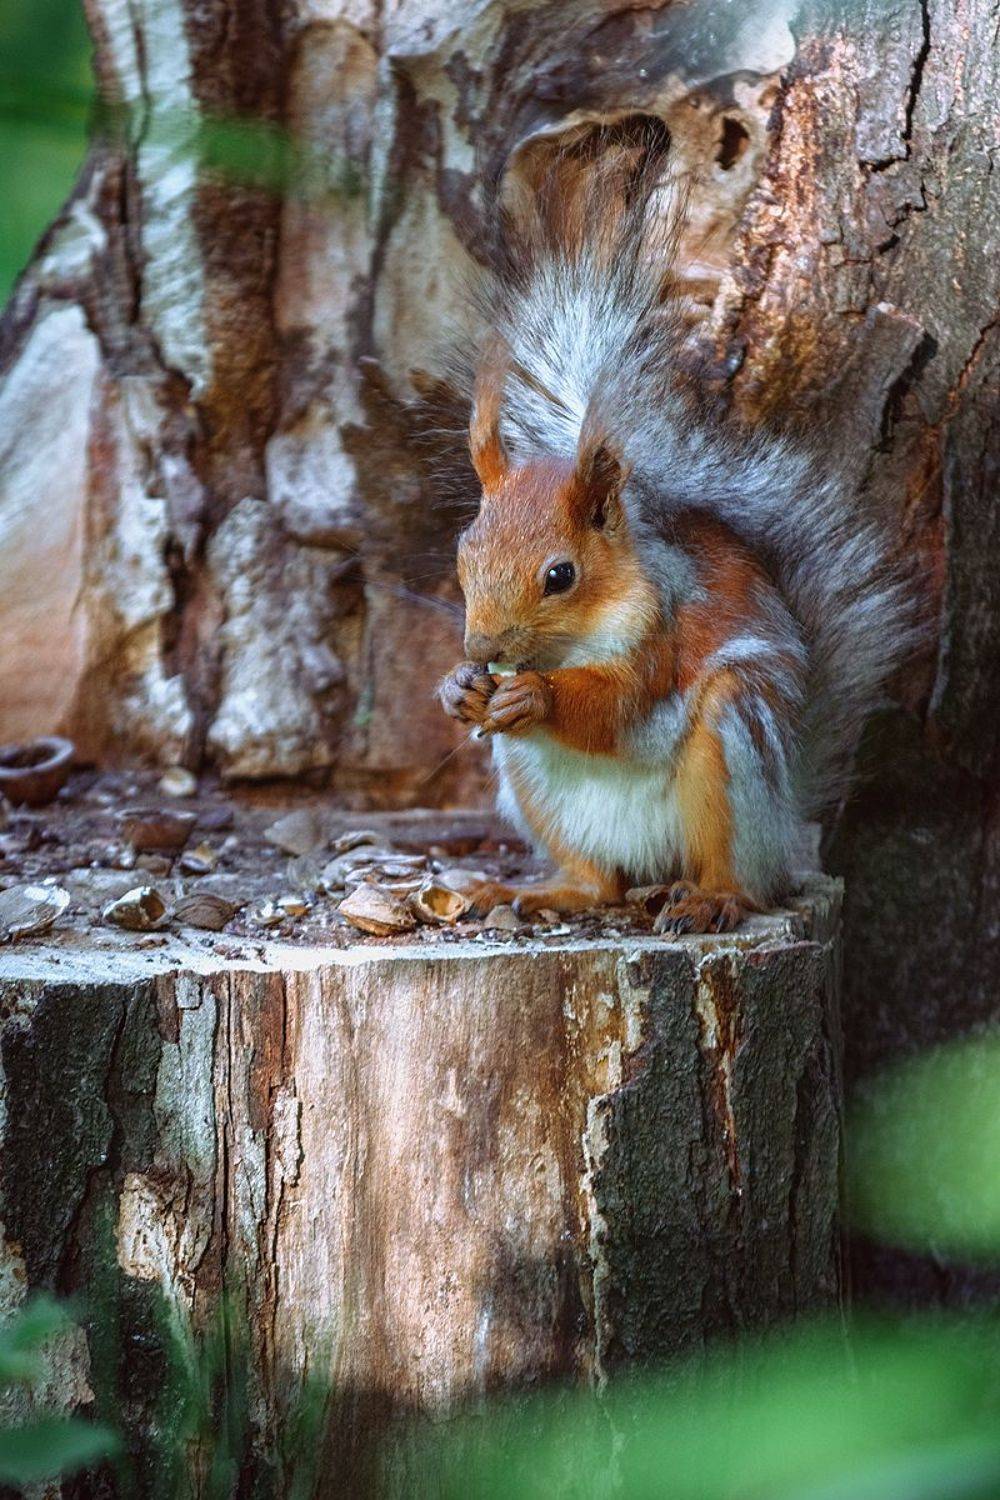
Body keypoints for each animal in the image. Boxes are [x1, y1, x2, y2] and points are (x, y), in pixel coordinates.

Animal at [437, 157, 915, 933]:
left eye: (561, 575)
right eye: (464, 554)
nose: (482, 649)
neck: (570, 642)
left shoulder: (659, 627)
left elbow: (618, 705)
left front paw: (535, 696)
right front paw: (457, 687)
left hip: (737, 740)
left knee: (740, 876)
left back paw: (712, 898)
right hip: (538, 792)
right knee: (600, 884)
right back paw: (546, 891)